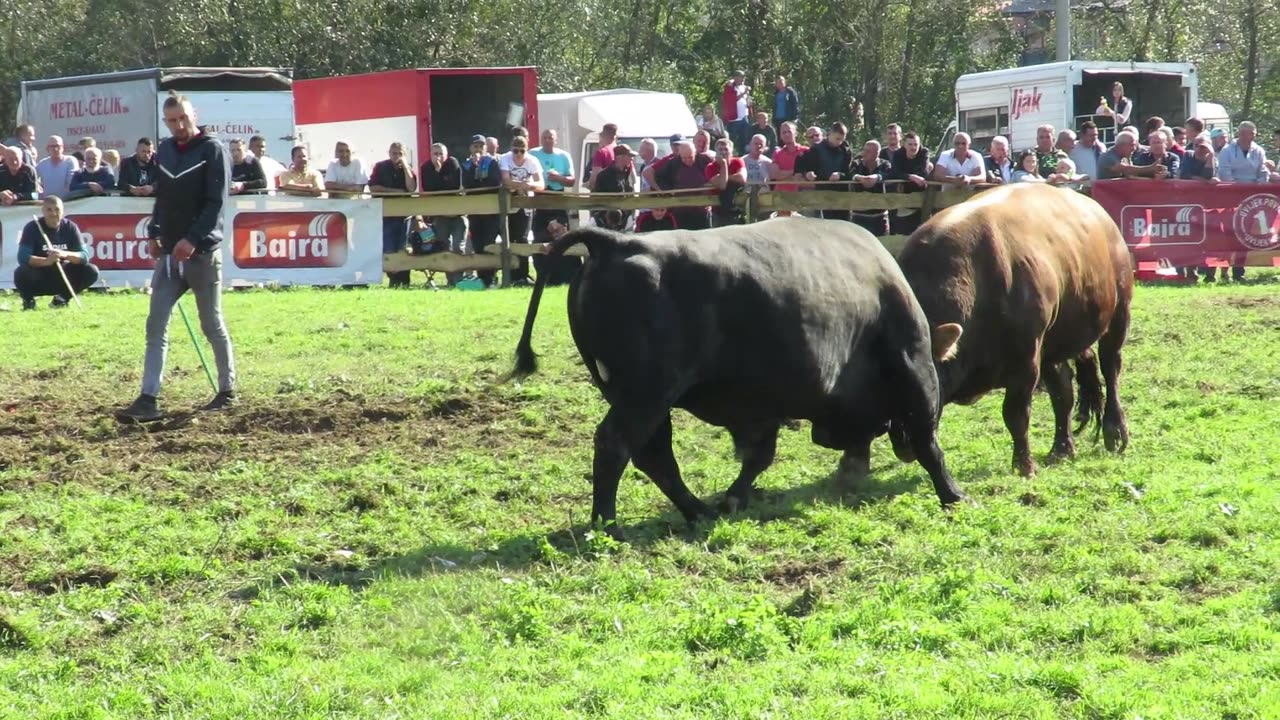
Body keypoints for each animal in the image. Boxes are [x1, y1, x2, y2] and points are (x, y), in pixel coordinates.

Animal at [506, 215, 962, 535]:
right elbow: (930, 443)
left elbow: (759, 456)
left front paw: (733, 500)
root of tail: (616, 242)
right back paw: (608, 526)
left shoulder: (764, 407)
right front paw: (952, 494)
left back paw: (697, 512)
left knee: (654, 455)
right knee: (616, 445)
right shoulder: (914, 367)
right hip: (646, 395)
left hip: (643, 399)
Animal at [896, 181, 1136, 474]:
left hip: (1118, 316)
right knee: (1064, 393)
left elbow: (1015, 414)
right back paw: (1061, 448)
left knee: (1110, 368)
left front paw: (1024, 465)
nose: (905, 445)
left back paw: (1115, 431)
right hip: (1054, 347)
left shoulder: (1026, 361)